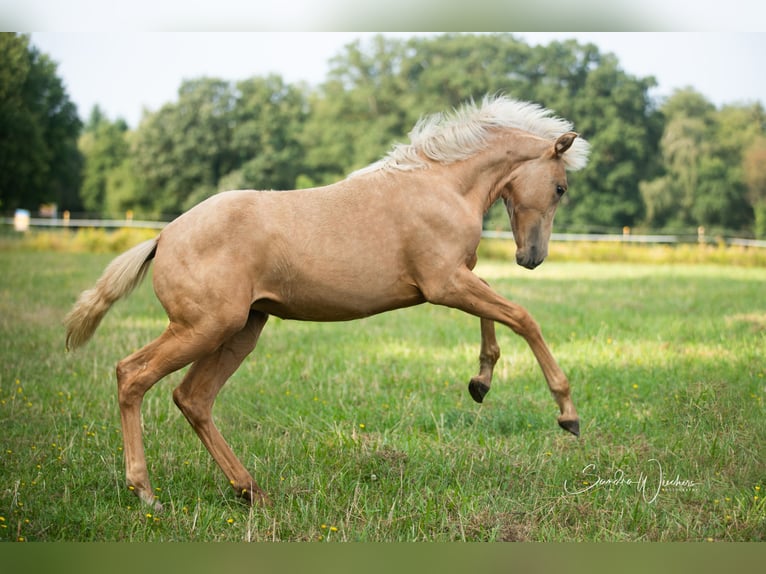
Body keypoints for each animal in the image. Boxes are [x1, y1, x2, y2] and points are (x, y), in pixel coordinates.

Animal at [67, 95, 592, 512]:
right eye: (560, 187)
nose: (532, 257)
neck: (439, 184)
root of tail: (164, 236)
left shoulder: (454, 280)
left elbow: (495, 313)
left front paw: (480, 383)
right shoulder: (444, 284)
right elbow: (522, 316)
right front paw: (567, 413)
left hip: (241, 330)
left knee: (192, 398)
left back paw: (250, 491)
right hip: (204, 327)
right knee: (132, 375)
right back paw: (146, 492)